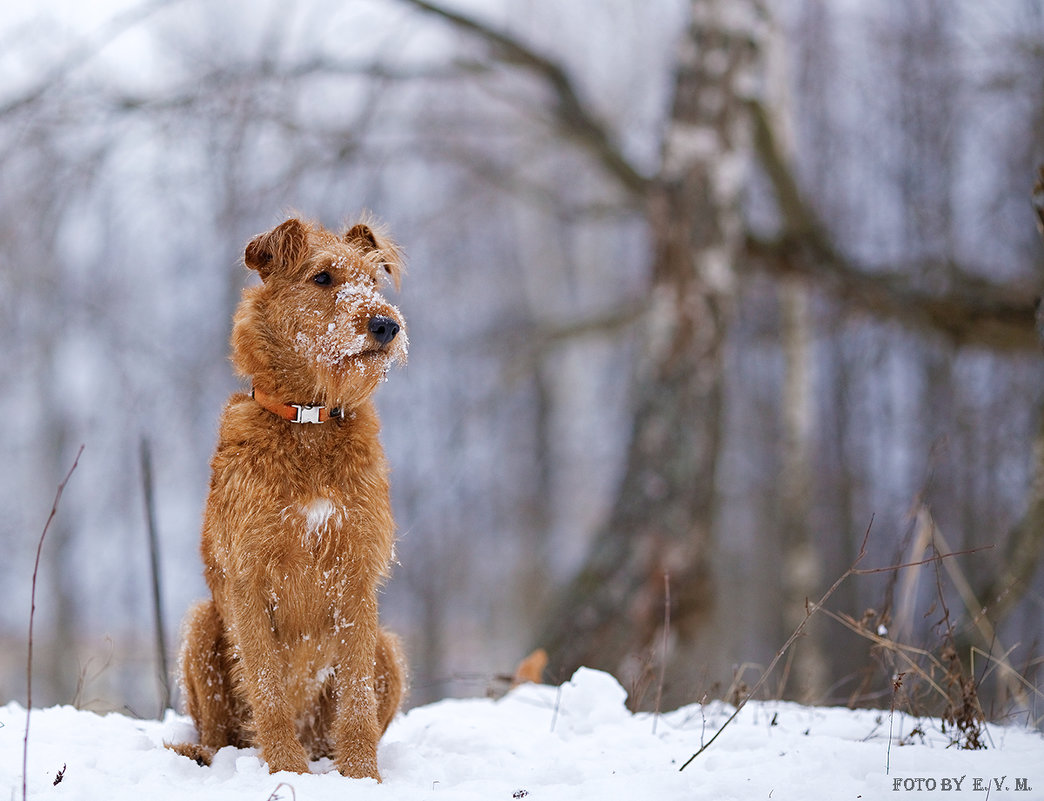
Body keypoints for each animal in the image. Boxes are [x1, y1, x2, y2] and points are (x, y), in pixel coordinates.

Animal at [168, 216, 407, 781]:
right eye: (322, 277)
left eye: (375, 281)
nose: (386, 325)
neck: (309, 422)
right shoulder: (249, 578)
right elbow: (267, 688)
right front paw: (284, 772)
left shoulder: (357, 574)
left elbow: (357, 697)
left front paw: (362, 776)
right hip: (201, 625)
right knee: (217, 733)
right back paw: (213, 757)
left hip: (388, 647)